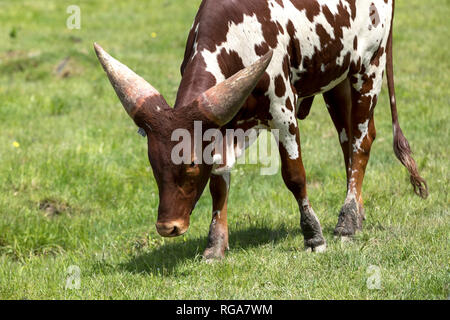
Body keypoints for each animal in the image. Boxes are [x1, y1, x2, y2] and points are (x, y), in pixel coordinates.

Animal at [93, 0, 428, 260]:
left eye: (190, 166)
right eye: (153, 164)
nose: (167, 227)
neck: (237, 35)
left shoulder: (283, 111)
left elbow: (294, 176)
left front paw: (314, 237)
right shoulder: (223, 122)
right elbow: (219, 181)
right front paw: (215, 246)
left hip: (369, 66)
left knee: (361, 141)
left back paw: (346, 223)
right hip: (336, 78)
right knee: (350, 141)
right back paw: (356, 215)